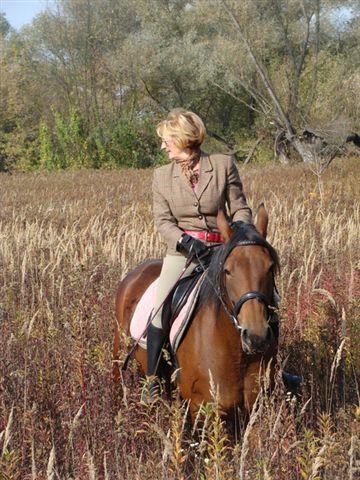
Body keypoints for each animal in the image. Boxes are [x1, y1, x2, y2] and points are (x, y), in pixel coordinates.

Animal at [112, 204, 278, 422]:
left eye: (270, 267)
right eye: (227, 270)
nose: (256, 337)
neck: (237, 354)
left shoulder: (255, 411)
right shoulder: (204, 410)